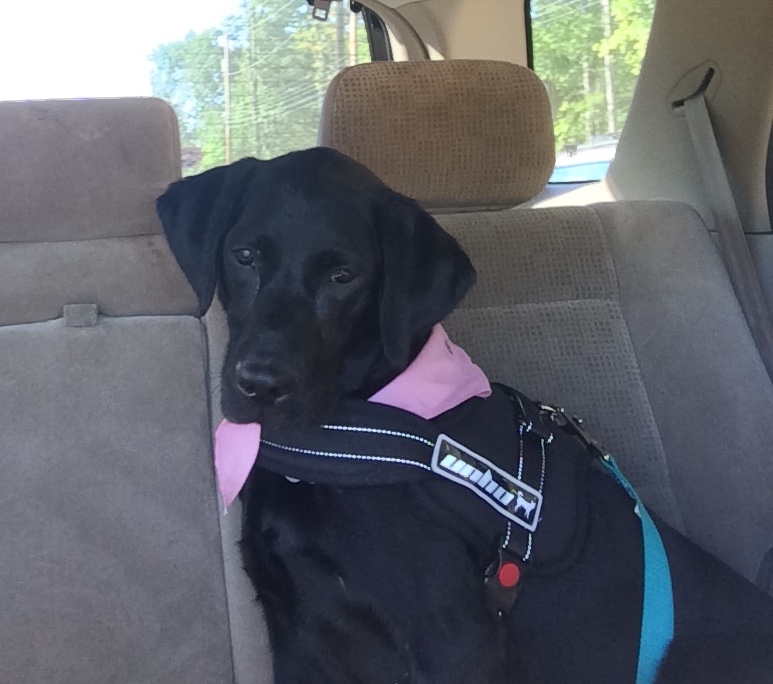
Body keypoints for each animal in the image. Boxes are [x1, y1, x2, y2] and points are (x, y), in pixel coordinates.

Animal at [155, 147, 772, 680]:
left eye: (342, 276)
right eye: (245, 257)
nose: (259, 385)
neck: (349, 435)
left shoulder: (455, 644)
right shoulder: (294, 635)